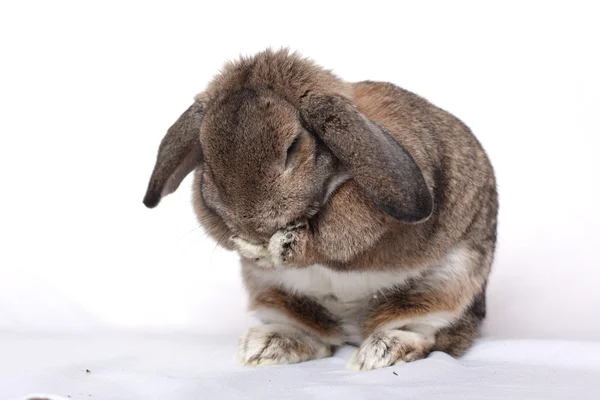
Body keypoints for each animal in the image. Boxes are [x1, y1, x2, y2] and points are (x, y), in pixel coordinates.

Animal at [142, 48, 496, 370]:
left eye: (293, 146)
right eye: (208, 160)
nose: (254, 225)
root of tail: (351, 328)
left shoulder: (361, 220)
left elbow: (332, 236)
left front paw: (280, 247)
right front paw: (250, 248)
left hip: (444, 288)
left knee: (424, 332)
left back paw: (379, 353)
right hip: (274, 295)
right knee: (318, 339)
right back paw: (264, 348)